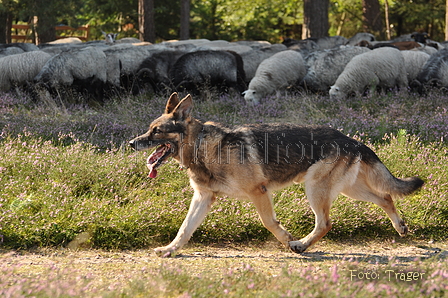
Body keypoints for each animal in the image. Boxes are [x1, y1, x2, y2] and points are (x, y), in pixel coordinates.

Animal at [129, 92, 424, 256]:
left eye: (156, 131)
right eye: (149, 129)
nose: (132, 143)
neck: (204, 146)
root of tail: (350, 139)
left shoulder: (258, 193)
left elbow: (269, 222)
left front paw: (287, 239)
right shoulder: (203, 198)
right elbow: (184, 229)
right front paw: (170, 250)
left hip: (316, 190)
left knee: (325, 223)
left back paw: (301, 245)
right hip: (348, 190)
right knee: (386, 197)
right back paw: (400, 226)